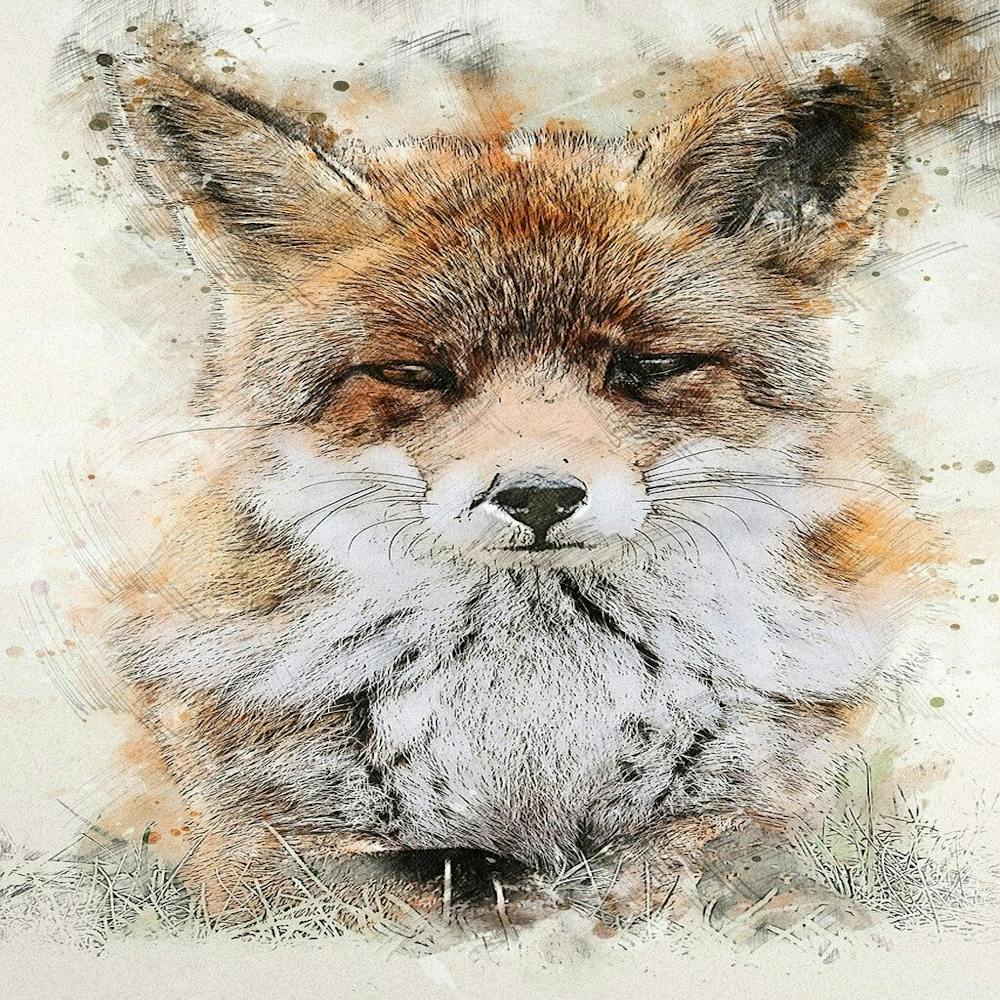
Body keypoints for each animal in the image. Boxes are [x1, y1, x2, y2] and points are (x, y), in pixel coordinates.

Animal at [104, 55, 928, 929]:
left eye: (649, 366)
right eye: (413, 372)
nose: (538, 496)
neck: (535, 713)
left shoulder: (754, 805)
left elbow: (700, 878)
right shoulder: (271, 843)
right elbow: (434, 892)